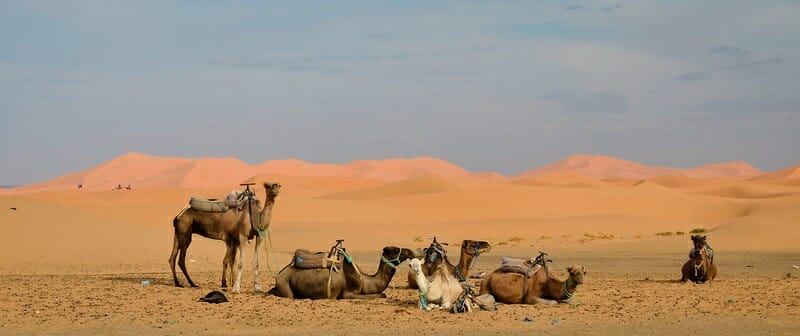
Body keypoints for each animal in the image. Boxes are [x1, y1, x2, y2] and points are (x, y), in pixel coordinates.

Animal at [270, 244, 416, 300]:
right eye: (395, 250)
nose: (410, 251)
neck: (364, 281)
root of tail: (278, 275)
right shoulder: (347, 294)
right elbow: (380, 295)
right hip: (285, 283)